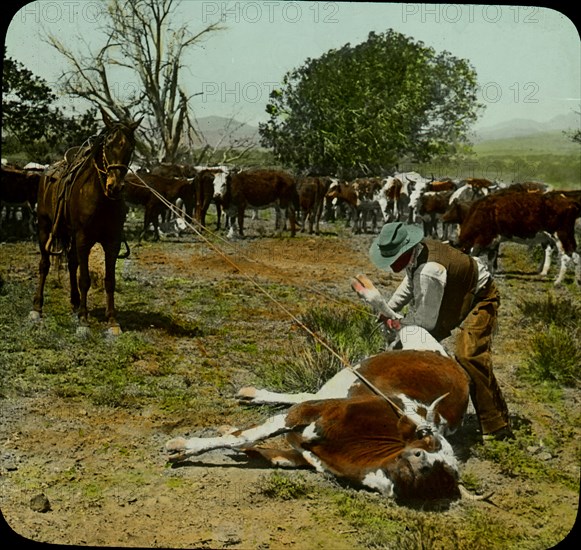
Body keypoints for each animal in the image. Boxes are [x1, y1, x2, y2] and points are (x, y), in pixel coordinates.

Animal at [30, 111, 142, 336]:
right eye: (108, 145)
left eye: (130, 147)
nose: (115, 186)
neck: (101, 198)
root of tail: (46, 173)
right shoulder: (83, 239)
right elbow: (85, 279)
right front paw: (83, 321)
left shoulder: (112, 242)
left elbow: (109, 280)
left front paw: (112, 320)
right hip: (45, 229)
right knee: (44, 265)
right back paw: (37, 308)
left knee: (73, 264)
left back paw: (74, 304)